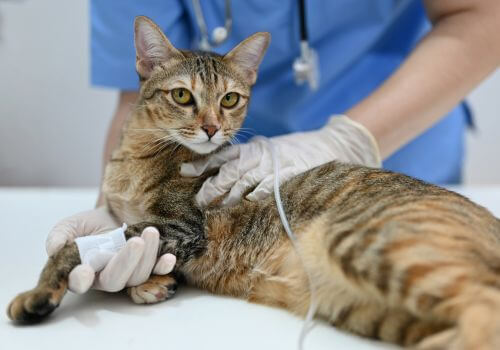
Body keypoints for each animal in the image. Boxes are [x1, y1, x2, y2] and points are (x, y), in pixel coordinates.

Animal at [6, 16, 500, 350]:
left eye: (230, 99)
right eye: (182, 95)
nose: (211, 128)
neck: (137, 158)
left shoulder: (183, 226)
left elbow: (73, 250)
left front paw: (39, 292)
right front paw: (147, 282)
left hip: (371, 242)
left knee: (484, 311)